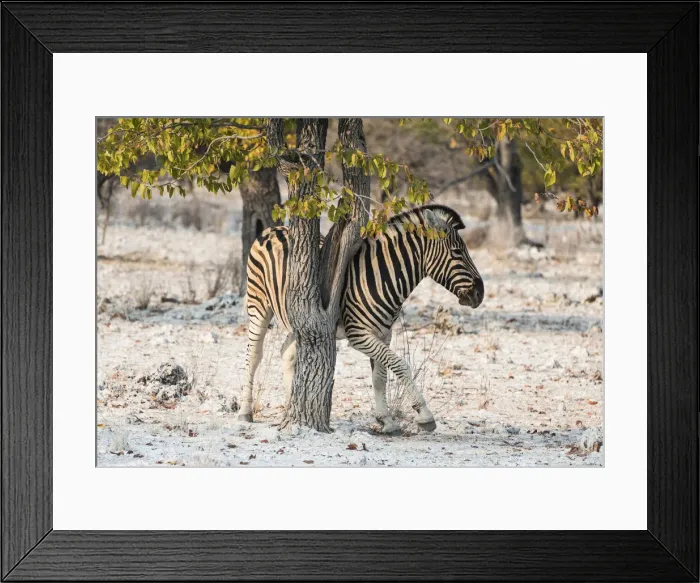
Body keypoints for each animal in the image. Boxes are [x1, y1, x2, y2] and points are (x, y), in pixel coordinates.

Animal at [240, 204, 484, 433]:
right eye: (457, 252)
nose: (480, 294)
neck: (382, 276)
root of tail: (273, 229)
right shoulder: (359, 335)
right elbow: (401, 365)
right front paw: (424, 415)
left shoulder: (384, 334)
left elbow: (380, 376)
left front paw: (386, 420)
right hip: (258, 305)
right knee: (253, 355)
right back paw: (245, 412)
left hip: (298, 316)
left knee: (286, 353)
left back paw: (291, 408)